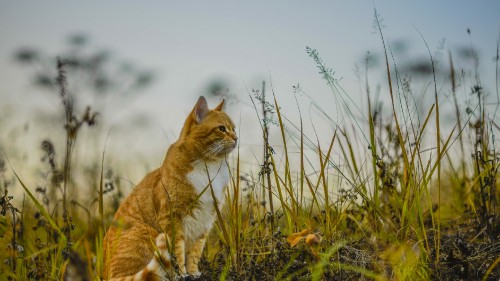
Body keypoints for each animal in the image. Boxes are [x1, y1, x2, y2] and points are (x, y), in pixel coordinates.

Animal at [103, 95, 236, 278]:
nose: (236, 138)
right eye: (222, 129)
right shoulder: (172, 217)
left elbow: (194, 252)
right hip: (147, 232)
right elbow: (178, 251)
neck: (209, 167)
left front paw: (193, 273)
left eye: (234, 129)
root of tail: (103, 273)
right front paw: (181, 274)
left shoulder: (204, 222)